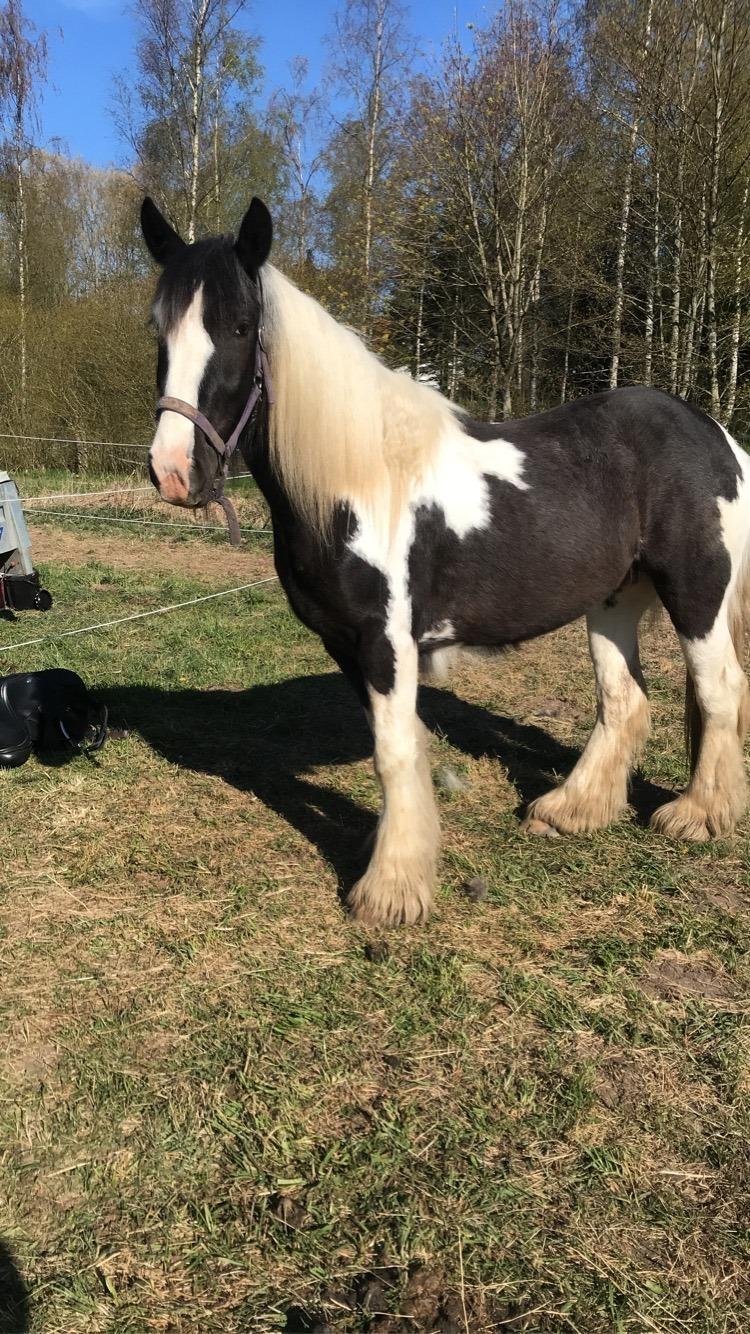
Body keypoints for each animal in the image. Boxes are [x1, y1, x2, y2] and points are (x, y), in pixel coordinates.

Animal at [137, 194, 747, 928]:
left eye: (237, 326)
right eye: (159, 331)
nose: (174, 472)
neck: (358, 480)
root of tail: (714, 436)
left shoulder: (387, 640)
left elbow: (395, 751)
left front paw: (391, 890)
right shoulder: (346, 644)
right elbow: (393, 745)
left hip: (697, 594)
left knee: (720, 690)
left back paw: (698, 816)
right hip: (614, 598)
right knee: (622, 700)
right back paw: (570, 811)